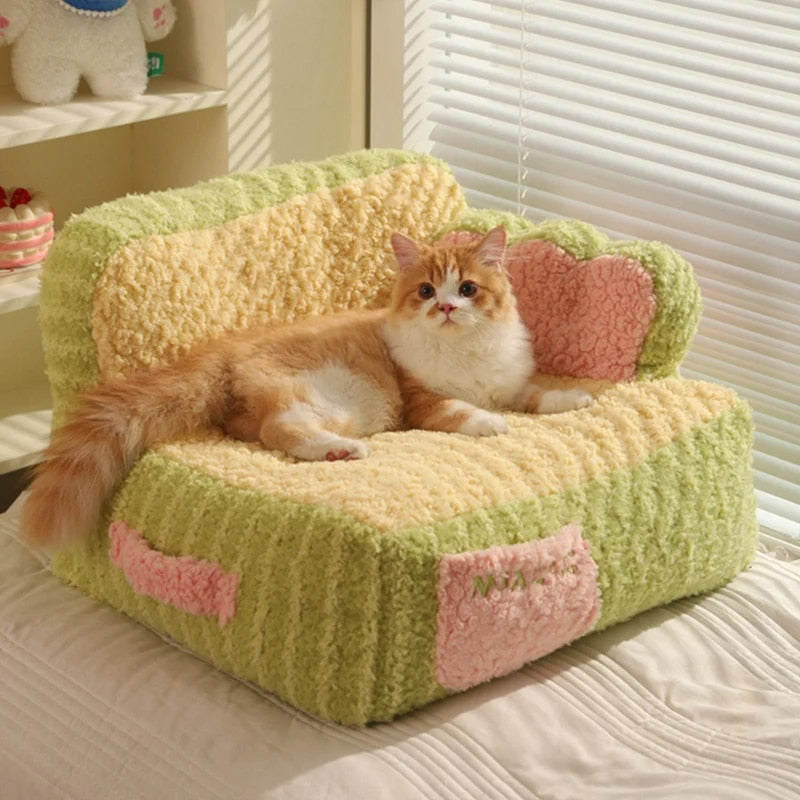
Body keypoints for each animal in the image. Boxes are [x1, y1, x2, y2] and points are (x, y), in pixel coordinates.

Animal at [21, 227, 592, 552]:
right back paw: (342, 451)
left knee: (264, 430)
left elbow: (538, 396)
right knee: (282, 431)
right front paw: (493, 423)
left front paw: (577, 399)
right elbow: (464, 411)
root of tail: (224, 351)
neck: (465, 352)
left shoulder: (510, 382)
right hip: (327, 396)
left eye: (468, 288)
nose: (447, 307)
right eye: (427, 291)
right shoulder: (421, 401)